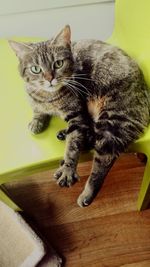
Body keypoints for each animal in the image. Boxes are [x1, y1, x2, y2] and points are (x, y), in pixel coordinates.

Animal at [8, 25, 150, 207]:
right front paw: (36, 121)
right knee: (90, 134)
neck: (49, 98)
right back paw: (63, 134)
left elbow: (73, 147)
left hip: (111, 123)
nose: (50, 79)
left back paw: (87, 193)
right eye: (36, 69)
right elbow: (37, 109)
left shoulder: (77, 115)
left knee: (102, 161)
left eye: (58, 64)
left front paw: (68, 170)